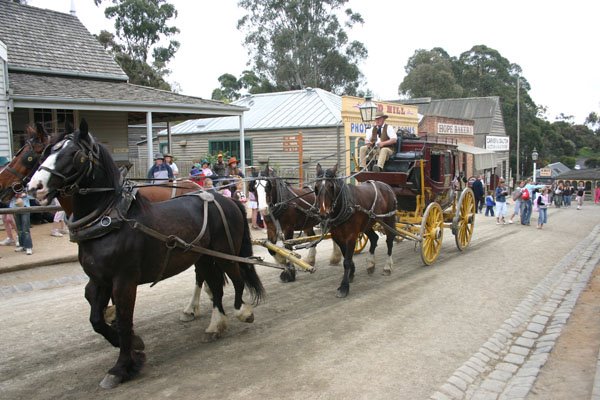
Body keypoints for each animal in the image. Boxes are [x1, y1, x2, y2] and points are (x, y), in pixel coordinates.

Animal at [26, 120, 264, 390]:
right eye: (45, 152)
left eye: (74, 154)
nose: (34, 187)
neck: (109, 221)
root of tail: (224, 199)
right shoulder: (100, 280)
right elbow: (97, 319)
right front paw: (134, 349)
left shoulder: (124, 281)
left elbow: (124, 321)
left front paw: (121, 367)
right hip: (203, 256)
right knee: (215, 285)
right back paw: (216, 325)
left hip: (224, 253)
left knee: (237, 278)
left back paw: (242, 312)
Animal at [314, 164, 398, 298]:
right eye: (316, 187)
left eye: (331, 186)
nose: (323, 214)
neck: (344, 205)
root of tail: (387, 186)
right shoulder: (338, 236)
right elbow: (346, 257)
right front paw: (351, 274)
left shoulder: (351, 236)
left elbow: (347, 261)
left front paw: (344, 286)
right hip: (368, 223)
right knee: (374, 238)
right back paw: (371, 264)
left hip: (388, 218)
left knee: (389, 240)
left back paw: (387, 267)